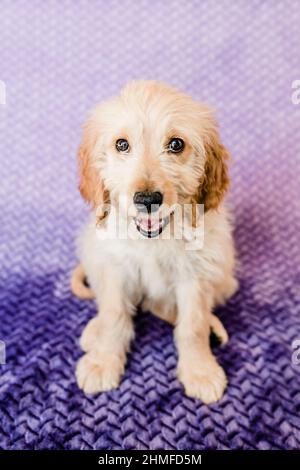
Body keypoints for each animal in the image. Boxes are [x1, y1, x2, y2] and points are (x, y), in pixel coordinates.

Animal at [72, 81, 237, 404]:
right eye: (122, 144)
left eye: (176, 145)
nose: (147, 199)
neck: (154, 239)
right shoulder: (114, 267)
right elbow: (113, 314)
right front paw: (103, 361)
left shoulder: (196, 274)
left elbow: (193, 325)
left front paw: (200, 370)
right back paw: (93, 331)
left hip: (223, 270)